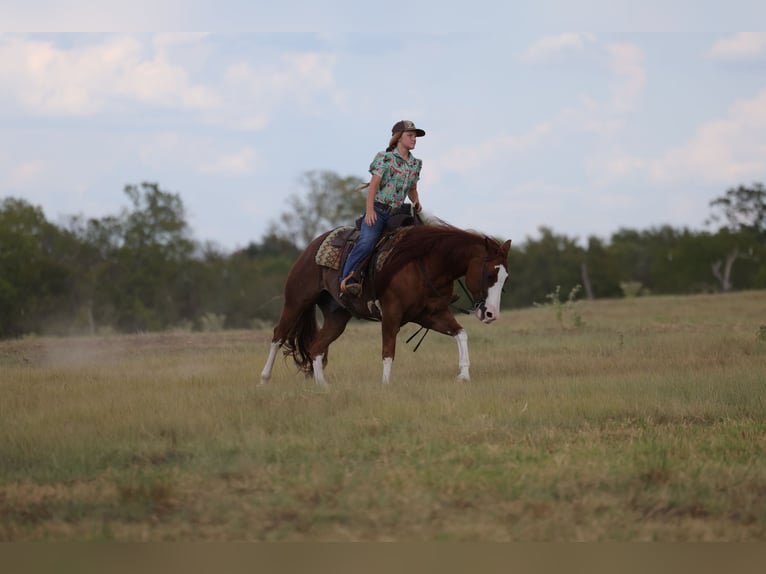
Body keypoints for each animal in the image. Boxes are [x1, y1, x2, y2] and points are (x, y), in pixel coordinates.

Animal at [259, 223, 512, 385]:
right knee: (278, 335)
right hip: (296, 301)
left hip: (337, 316)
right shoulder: (391, 314)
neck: (426, 264)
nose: (491, 314)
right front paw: (386, 385)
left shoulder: (432, 315)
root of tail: (312, 247)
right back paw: (264, 380)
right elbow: (388, 350)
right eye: (490, 275)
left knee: (316, 347)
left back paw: (323, 386)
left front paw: (464, 375)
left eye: (505, 278)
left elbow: (461, 334)